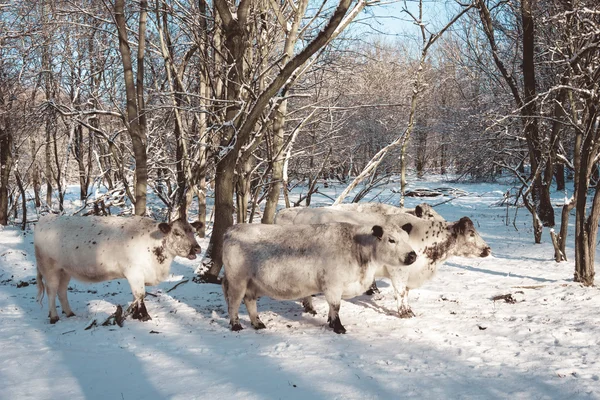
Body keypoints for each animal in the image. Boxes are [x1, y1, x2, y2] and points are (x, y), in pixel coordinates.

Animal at [34, 214, 203, 324]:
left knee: (62, 291)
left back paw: (69, 313)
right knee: (51, 291)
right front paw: (144, 316)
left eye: (193, 232)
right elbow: (140, 295)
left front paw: (135, 315)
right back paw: (54, 317)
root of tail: (45, 218)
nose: (197, 248)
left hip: (65, 271)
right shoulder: (134, 273)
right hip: (49, 268)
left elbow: (136, 296)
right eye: (177, 233)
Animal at [221, 223, 418, 332]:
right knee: (234, 303)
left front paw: (331, 322)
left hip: (251, 283)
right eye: (391, 240)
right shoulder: (333, 285)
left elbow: (332, 308)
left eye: (407, 238)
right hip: (237, 280)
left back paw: (257, 323)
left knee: (249, 301)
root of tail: (231, 229)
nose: (412, 255)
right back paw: (236, 325)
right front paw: (338, 327)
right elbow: (336, 306)